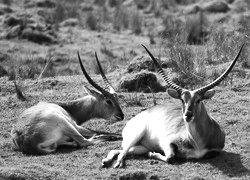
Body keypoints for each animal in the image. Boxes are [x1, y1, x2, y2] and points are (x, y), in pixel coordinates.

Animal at [101, 44, 244, 168]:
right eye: (182, 99)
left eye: (198, 100)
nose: (188, 115)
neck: (197, 141)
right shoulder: (166, 142)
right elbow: (170, 157)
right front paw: (153, 154)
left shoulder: (216, 150)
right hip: (136, 136)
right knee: (123, 152)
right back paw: (117, 163)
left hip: (139, 147)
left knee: (117, 150)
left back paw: (105, 161)